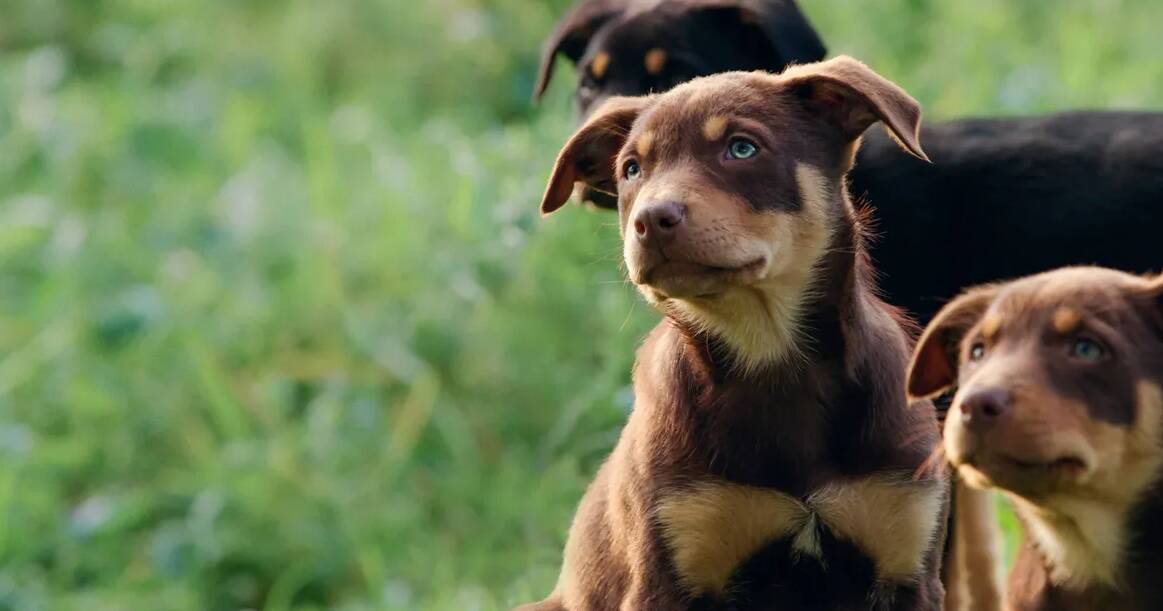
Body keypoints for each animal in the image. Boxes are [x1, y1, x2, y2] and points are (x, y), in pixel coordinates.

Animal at [523, 54, 949, 605]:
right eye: (632, 169)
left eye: (742, 148)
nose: (650, 220)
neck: (770, 351)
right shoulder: (668, 562)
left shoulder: (908, 558)